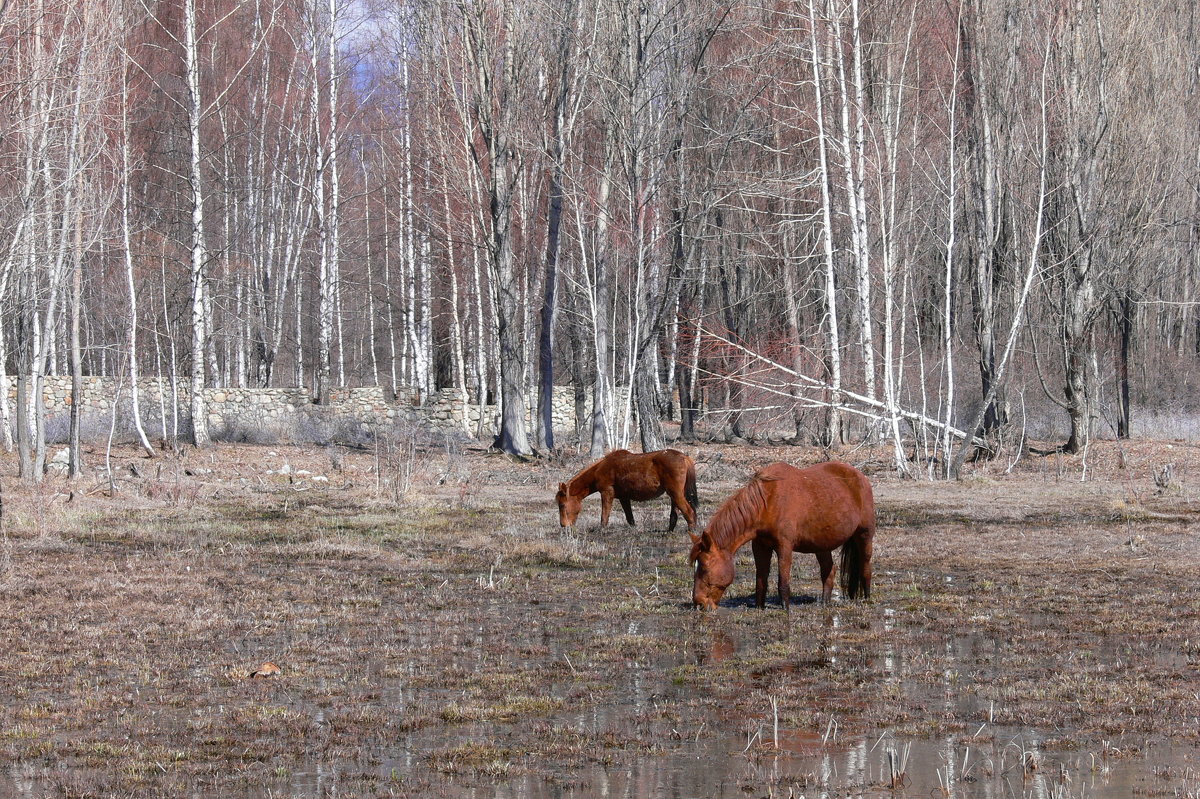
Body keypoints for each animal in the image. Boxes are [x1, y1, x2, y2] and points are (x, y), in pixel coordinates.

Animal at [554, 448, 700, 527]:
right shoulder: (624, 498)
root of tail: (684, 457)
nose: (563, 525)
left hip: (676, 493)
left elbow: (604, 515)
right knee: (674, 515)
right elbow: (630, 518)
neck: (600, 469)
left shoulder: (606, 492)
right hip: (674, 495)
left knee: (689, 512)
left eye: (562, 505)